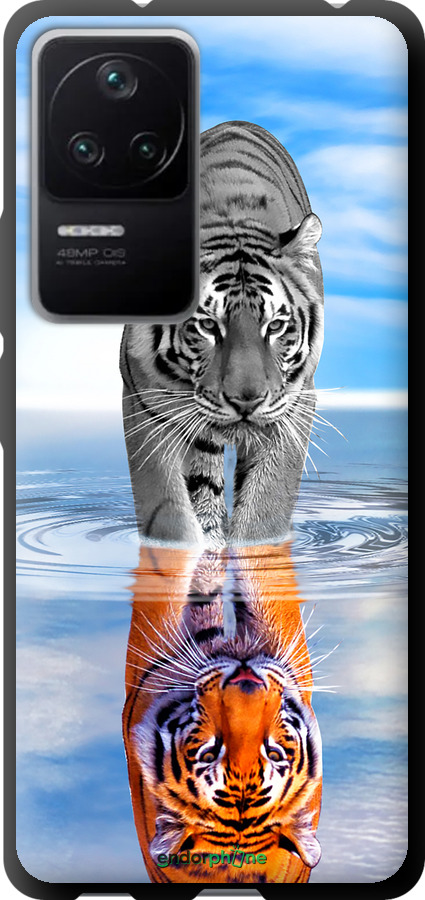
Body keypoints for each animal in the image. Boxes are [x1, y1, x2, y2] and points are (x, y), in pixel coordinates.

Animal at [120, 121, 324, 550]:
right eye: (208, 326)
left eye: (275, 326)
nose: (246, 401)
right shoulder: (144, 403)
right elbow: (168, 513)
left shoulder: (294, 405)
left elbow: (265, 511)